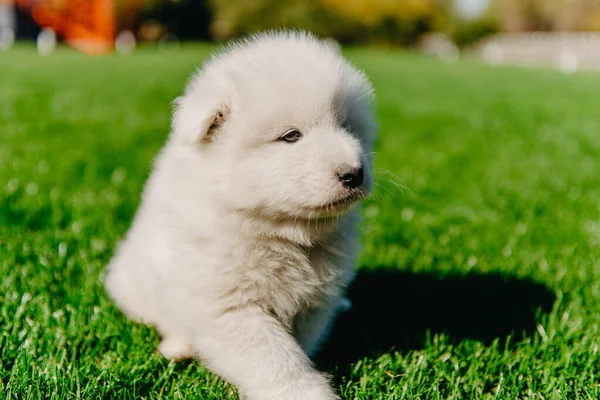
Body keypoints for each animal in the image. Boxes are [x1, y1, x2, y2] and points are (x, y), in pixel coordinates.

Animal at [103, 29, 376, 398]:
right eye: (291, 136)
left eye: (348, 127)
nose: (354, 173)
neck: (278, 231)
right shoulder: (229, 307)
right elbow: (276, 357)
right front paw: (306, 391)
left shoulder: (316, 301)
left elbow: (298, 344)